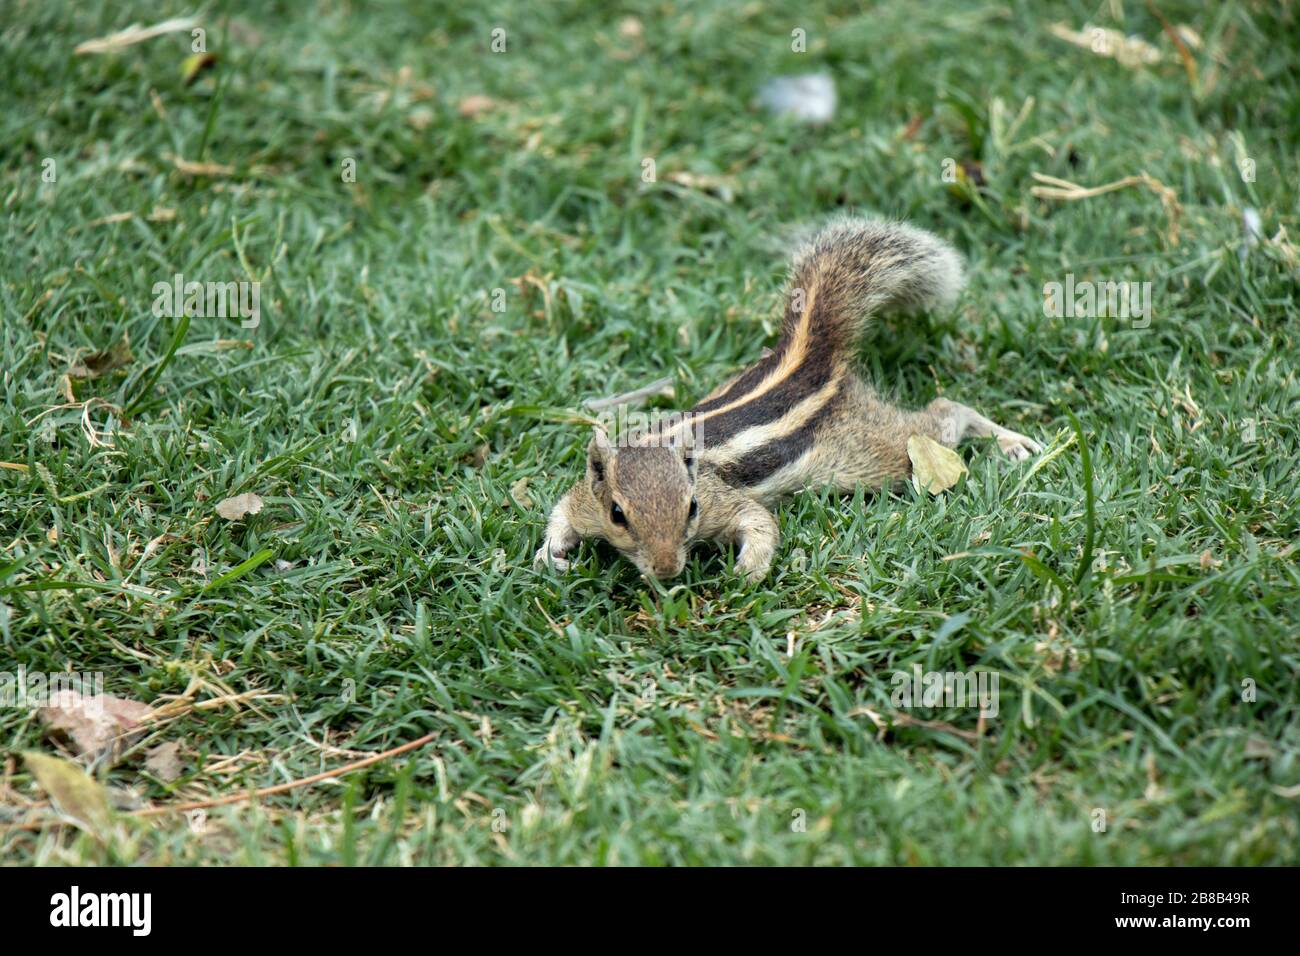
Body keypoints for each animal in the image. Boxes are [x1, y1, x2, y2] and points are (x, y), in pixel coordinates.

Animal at [533, 218, 1040, 582]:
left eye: (692, 508)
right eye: (617, 514)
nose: (666, 570)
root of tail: (807, 362)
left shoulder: (722, 500)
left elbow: (759, 522)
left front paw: (747, 571)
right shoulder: (586, 499)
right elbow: (561, 511)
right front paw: (549, 554)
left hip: (875, 452)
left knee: (945, 413)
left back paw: (1011, 442)